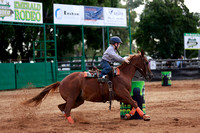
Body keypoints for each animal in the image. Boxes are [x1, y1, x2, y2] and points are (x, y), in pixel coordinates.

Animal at [22, 51, 152, 123]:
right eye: (146, 62)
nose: (150, 75)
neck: (122, 74)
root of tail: (62, 81)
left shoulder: (121, 97)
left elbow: (134, 103)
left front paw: (128, 115)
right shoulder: (123, 93)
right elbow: (134, 102)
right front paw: (145, 116)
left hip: (78, 100)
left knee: (62, 107)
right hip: (72, 98)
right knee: (66, 109)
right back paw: (71, 122)